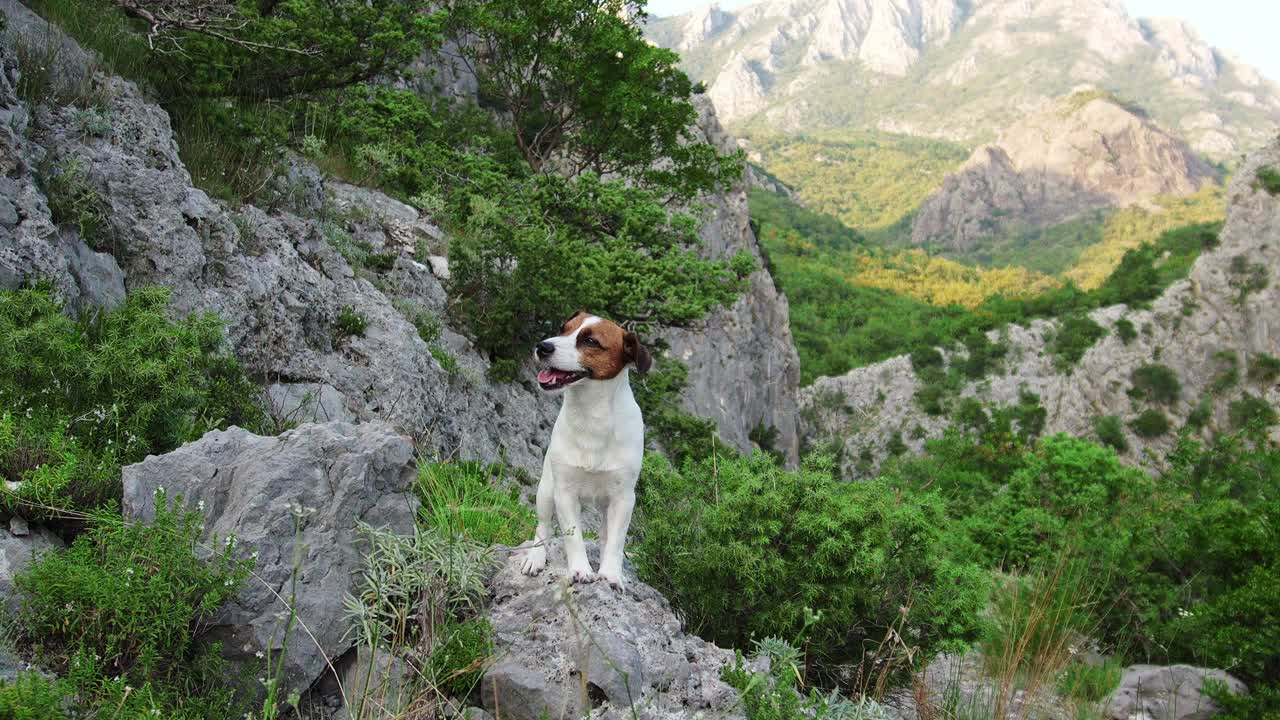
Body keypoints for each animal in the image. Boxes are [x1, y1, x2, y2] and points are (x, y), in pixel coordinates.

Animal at [519, 311, 655, 586]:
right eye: (563, 329)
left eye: (591, 341)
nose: (542, 346)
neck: (592, 416)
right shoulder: (564, 492)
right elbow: (573, 537)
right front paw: (580, 570)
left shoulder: (623, 498)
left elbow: (615, 541)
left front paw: (611, 574)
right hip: (546, 490)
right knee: (542, 526)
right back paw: (535, 558)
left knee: (605, 536)